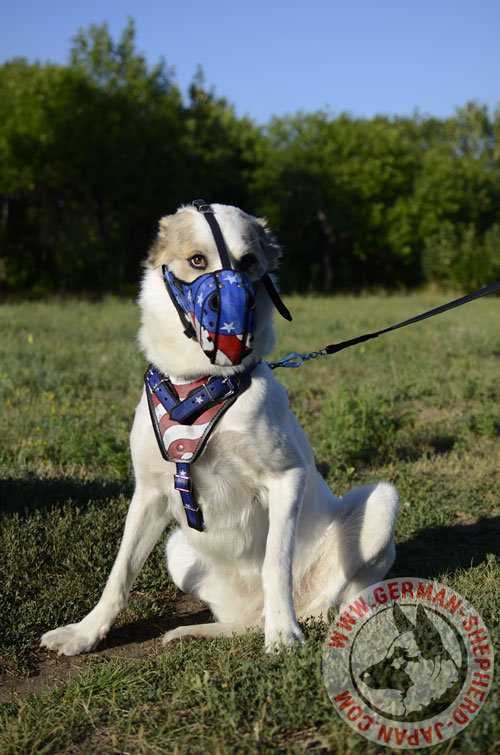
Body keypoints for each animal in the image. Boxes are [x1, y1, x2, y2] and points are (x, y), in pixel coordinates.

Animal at [41, 201, 398, 656]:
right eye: (197, 260)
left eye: (248, 263)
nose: (228, 316)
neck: (199, 383)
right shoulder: (149, 494)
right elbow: (119, 574)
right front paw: (86, 632)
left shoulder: (287, 478)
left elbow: (275, 562)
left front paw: (284, 633)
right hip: (178, 548)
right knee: (243, 621)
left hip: (381, 501)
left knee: (342, 602)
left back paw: (304, 620)